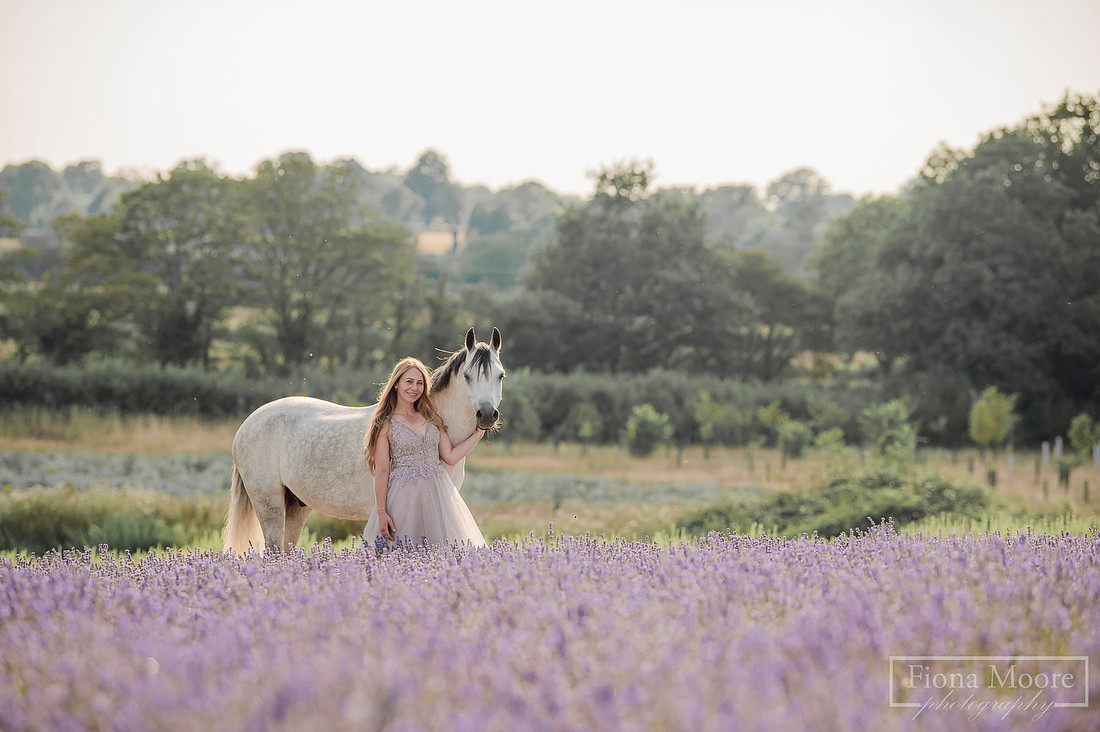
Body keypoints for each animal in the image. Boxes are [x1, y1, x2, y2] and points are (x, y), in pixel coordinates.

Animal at [223, 327, 504, 553]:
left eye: (500, 375)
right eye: (467, 376)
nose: (486, 415)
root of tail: (247, 424)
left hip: (295, 507)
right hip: (269, 504)